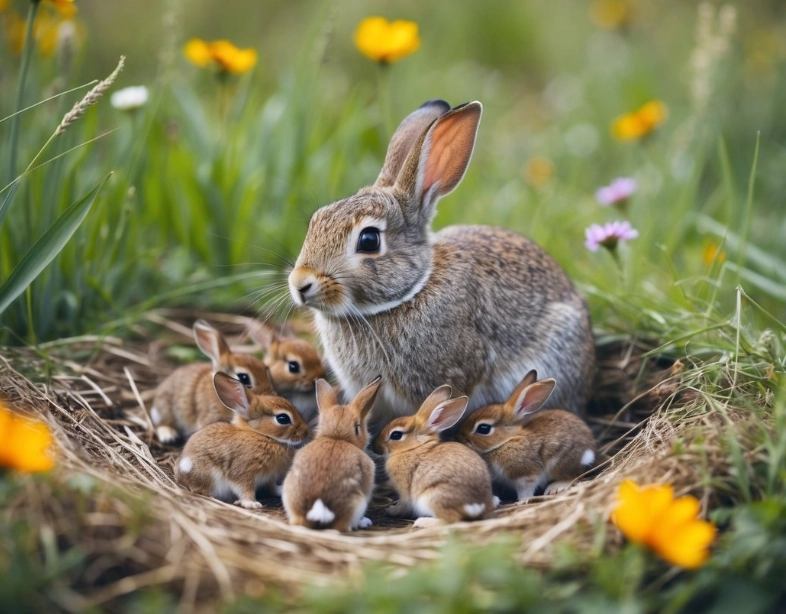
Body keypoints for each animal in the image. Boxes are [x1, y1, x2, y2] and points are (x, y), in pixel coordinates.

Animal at [175, 371, 309, 509]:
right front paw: (252, 504)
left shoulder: (269, 478)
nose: (306, 432)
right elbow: (245, 490)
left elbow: (271, 488)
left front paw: (281, 489)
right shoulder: (243, 473)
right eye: (282, 418)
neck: (261, 435)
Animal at [373, 385, 497, 528]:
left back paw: (423, 521)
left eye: (396, 435)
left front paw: (392, 510)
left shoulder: (405, 490)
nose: (375, 446)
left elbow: (404, 503)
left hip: (431, 498)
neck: (414, 447)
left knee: (451, 519)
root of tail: (475, 505)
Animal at [457, 370, 597, 500]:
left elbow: (526, 489)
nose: (461, 438)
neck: (507, 440)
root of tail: (590, 450)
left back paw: (555, 487)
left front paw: (522, 501)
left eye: (483, 428)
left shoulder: (526, 474)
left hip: (562, 462)